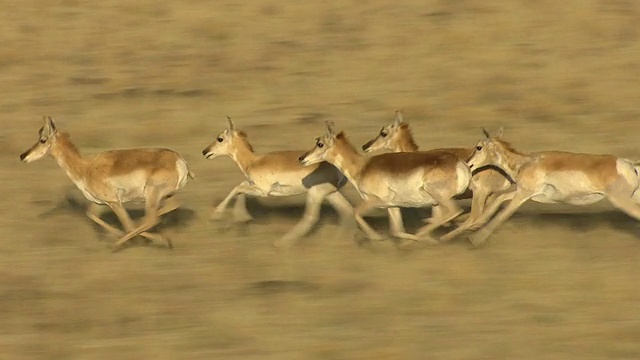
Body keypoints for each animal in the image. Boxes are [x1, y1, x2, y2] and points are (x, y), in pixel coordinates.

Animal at [20, 116, 195, 252]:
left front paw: (119, 241)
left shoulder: (114, 202)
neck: (86, 167)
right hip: (164, 195)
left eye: (43, 140)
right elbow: (91, 214)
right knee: (170, 206)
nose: (23, 156)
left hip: (152, 194)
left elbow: (127, 225)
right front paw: (117, 234)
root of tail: (179, 160)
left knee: (151, 219)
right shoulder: (100, 203)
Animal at [201, 117, 356, 248]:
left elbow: (237, 187)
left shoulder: (262, 191)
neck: (253, 161)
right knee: (347, 211)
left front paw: (217, 215)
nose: (204, 151)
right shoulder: (254, 186)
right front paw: (243, 218)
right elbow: (241, 187)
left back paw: (281, 243)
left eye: (220, 138)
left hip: (316, 193)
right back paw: (339, 242)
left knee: (310, 217)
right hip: (331, 193)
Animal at [298, 121, 470, 245]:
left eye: (320, 143)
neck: (362, 166)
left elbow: (356, 213)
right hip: (437, 202)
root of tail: (460, 163)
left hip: (438, 197)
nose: (301, 158)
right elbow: (396, 230)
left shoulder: (373, 200)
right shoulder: (392, 206)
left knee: (454, 211)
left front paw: (378, 238)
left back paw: (436, 237)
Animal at [462, 129, 640, 248]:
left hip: (622, 201)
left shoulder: (522, 194)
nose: (467, 163)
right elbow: (499, 199)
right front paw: (473, 225)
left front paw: (475, 240)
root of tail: (629, 165)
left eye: (479, 147)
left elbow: (503, 215)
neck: (526, 162)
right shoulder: (526, 193)